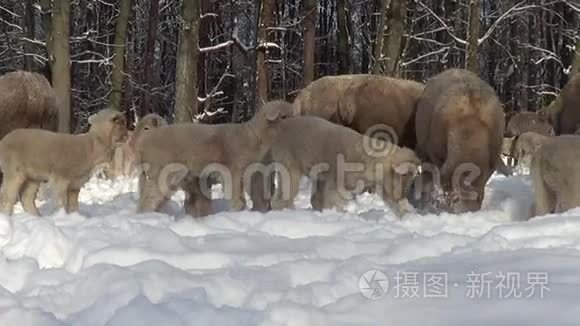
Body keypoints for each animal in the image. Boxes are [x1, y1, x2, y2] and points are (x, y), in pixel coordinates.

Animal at [135, 99, 294, 216]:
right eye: (284, 116)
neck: (253, 137)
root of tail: (143, 145)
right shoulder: (233, 172)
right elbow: (236, 197)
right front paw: (236, 212)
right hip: (162, 172)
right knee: (150, 197)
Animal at [256, 115, 420, 216]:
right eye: (404, 174)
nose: (403, 195)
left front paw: (407, 216)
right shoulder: (338, 181)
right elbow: (334, 199)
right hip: (289, 164)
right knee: (285, 192)